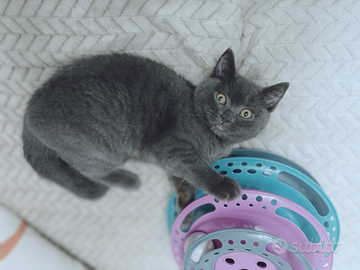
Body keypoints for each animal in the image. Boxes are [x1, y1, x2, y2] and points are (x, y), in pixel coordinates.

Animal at [21, 49, 286, 212]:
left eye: (246, 114)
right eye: (221, 98)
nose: (227, 116)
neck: (214, 140)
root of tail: (30, 108)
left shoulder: (173, 164)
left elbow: (183, 179)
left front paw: (185, 211)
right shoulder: (171, 148)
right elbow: (196, 168)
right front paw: (224, 187)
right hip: (96, 151)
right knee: (91, 172)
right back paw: (129, 180)